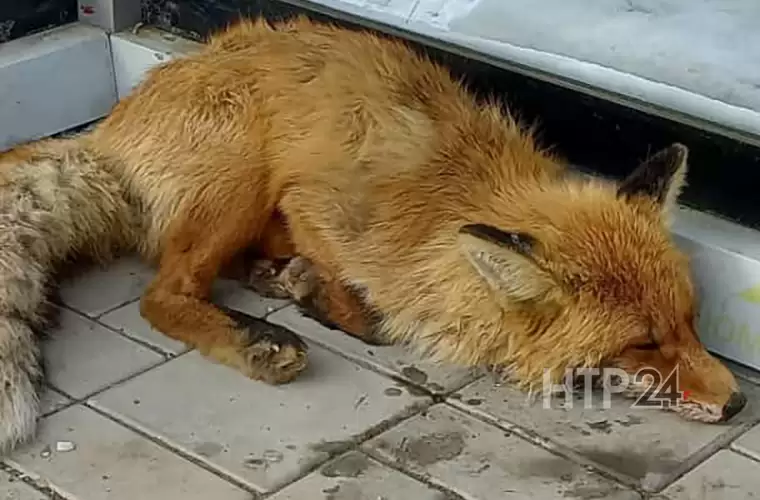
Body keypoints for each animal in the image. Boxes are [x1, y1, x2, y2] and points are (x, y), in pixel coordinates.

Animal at [0, 16, 748, 454]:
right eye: (643, 344)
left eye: (689, 322)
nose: (739, 402)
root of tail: (113, 127)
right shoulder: (313, 203)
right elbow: (370, 313)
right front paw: (329, 301)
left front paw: (299, 286)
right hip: (240, 176)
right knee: (163, 293)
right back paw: (257, 338)